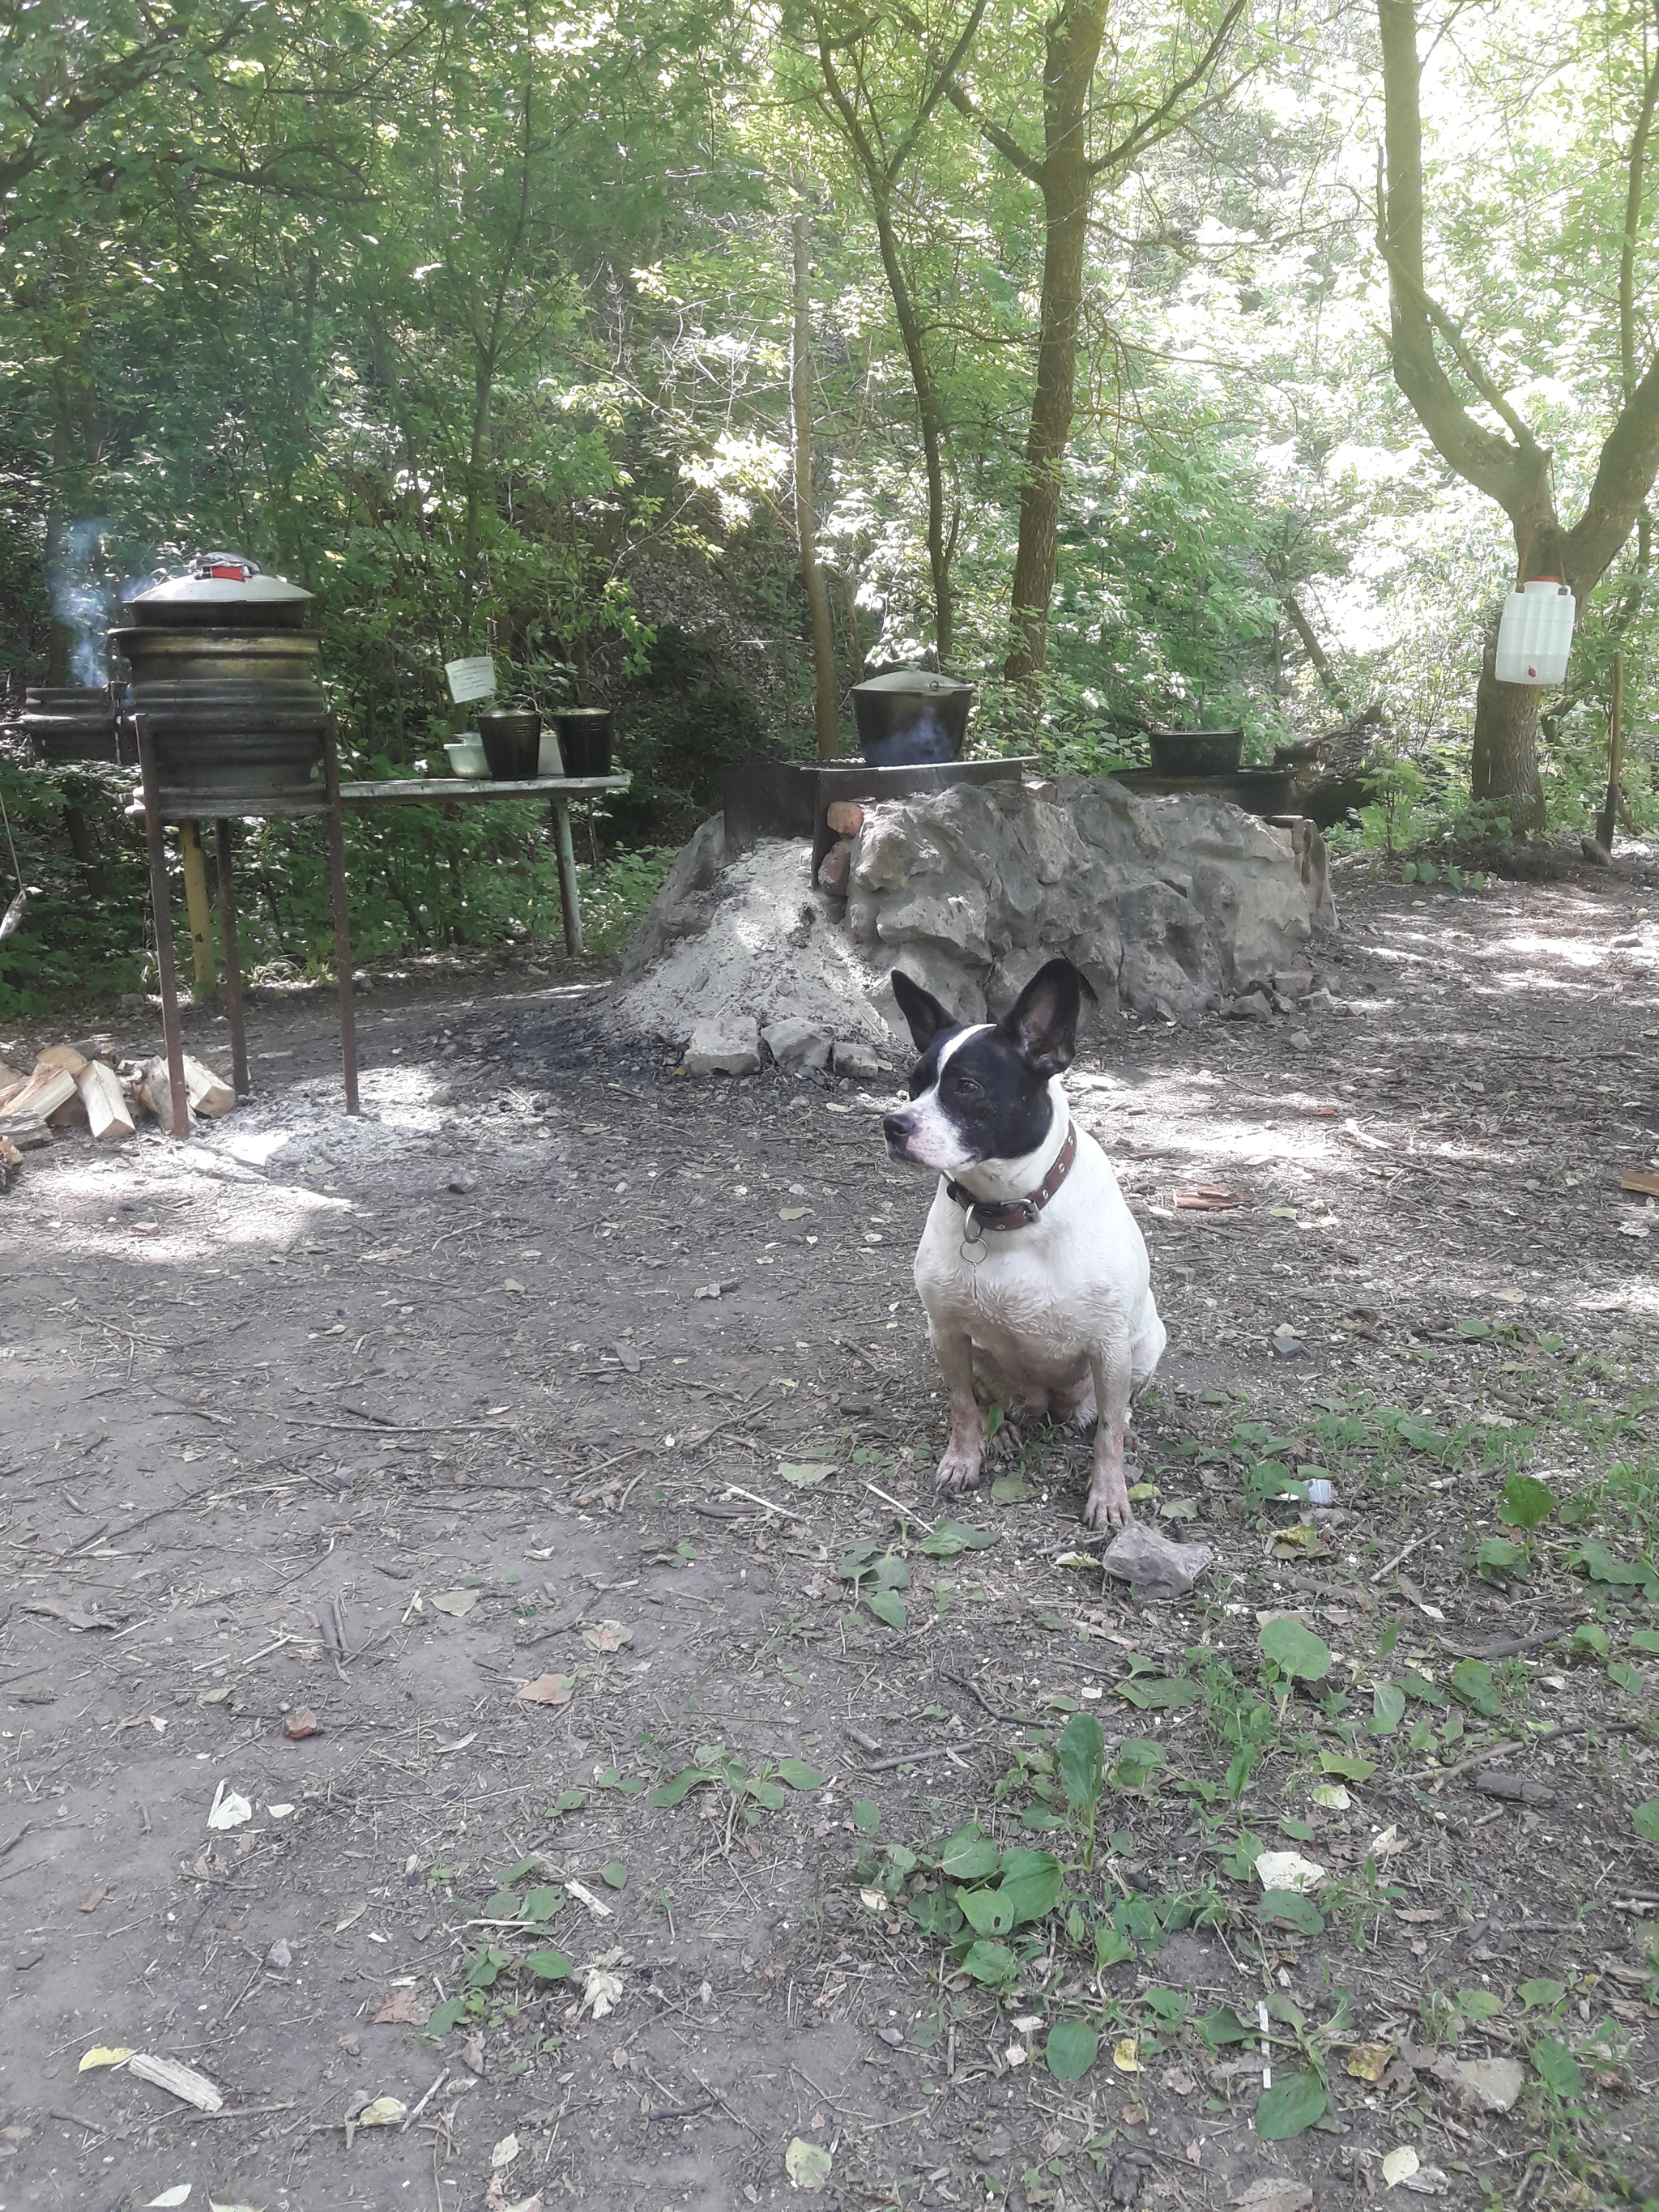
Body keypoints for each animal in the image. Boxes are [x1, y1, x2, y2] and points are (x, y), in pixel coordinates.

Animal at [885, 960, 1167, 1530]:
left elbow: (1107, 1436)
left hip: (1145, 1346)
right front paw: (963, 1458)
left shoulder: (1110, 1348)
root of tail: (1048, 1405)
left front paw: (1108, 1495)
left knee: (1114, 1411)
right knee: (988, 1400)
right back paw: (1001, 1432)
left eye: (967, 1087)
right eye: (912, 1086)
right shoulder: (947, 1332)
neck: (1006, 1213)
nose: (892, 1124)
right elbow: (961, 1406)